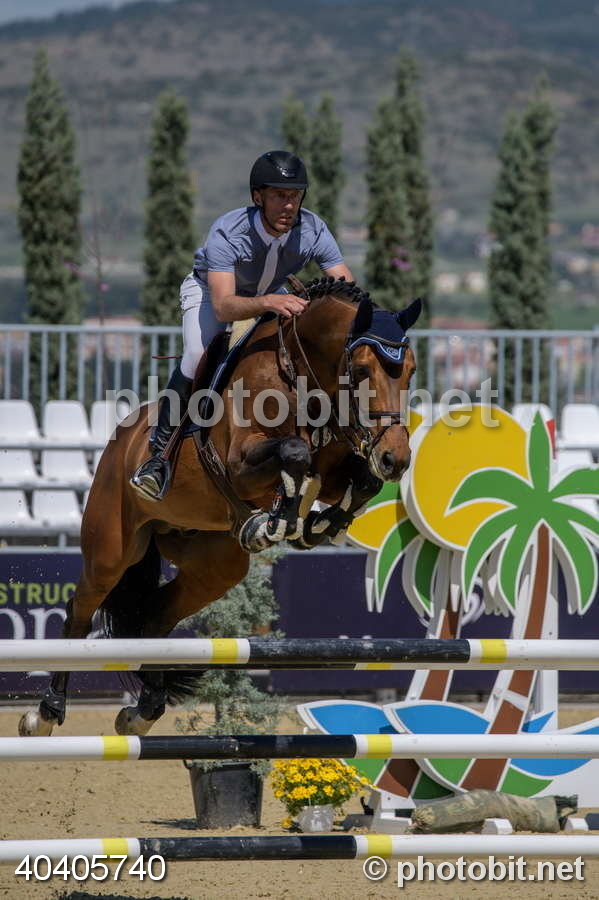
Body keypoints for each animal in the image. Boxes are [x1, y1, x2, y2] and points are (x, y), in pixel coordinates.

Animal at [19, 277, 420, 738]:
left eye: (411, 370)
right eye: (362, 370)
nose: (396, 458)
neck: (303, 380)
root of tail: (119, 440)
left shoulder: (339, 466)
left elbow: (360, 480)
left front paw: (319, 525)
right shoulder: (240, 466)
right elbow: (295, 451)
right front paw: (282, 519)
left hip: (214, 565)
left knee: (155, 618)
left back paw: (143, 711)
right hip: (111, 548)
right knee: (80, 612)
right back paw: (46, 712)